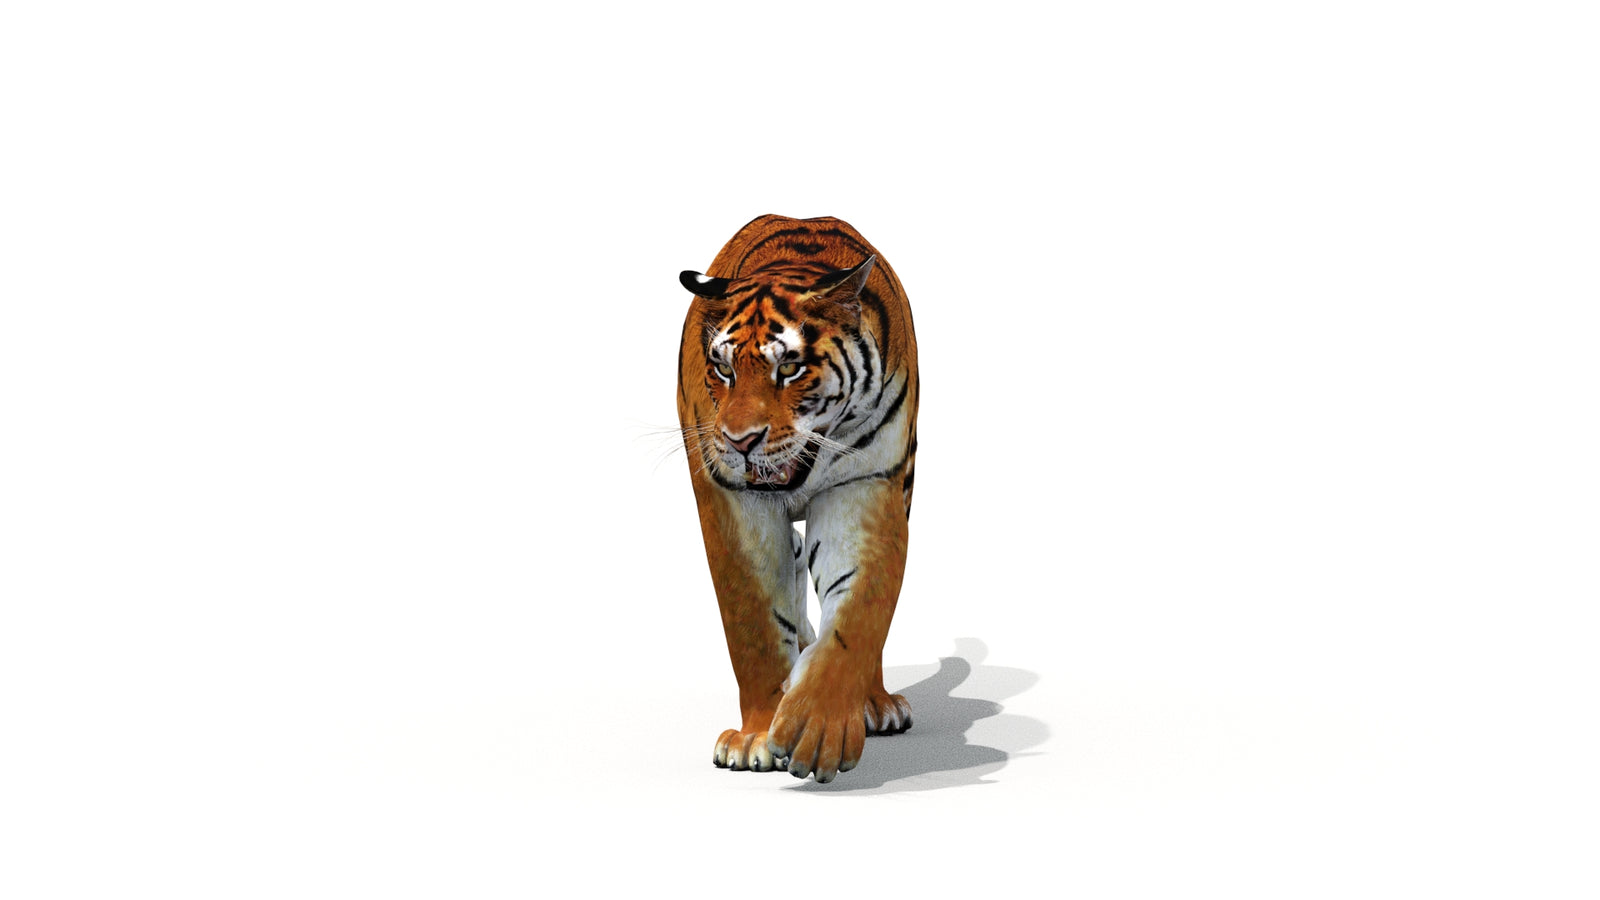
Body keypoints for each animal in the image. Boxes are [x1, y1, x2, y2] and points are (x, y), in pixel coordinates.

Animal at [676, 214, 919, 783]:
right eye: (723, 370)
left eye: (789, 368)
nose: (740, 440)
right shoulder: (731, 500)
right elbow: (755, 622)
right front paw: (756, 736)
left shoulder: (867, 485)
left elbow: (860, 612)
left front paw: (820, 724)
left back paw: (876, 704)